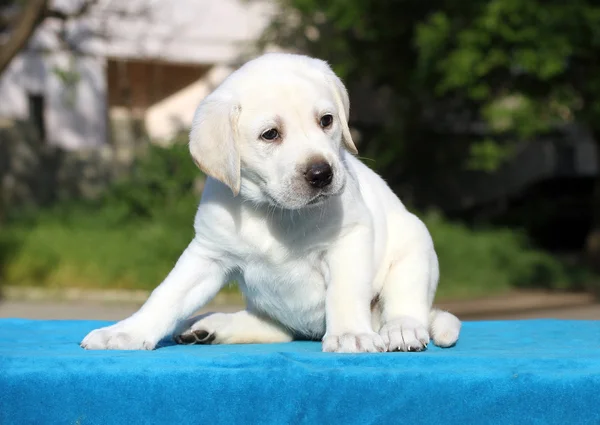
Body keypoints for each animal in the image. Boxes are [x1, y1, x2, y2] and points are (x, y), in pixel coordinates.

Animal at [82, 52, 462, 352]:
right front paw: (126, 332)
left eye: (327, 121)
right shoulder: (207, 254)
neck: (274, 212)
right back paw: (209, 326)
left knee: (404, 304)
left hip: (414, 250)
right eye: (270, 135)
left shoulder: (348, 241)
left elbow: (345, 292)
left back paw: (401, 329)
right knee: (275, 329)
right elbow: (166, 295)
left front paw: (350, 334)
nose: (322, 174)